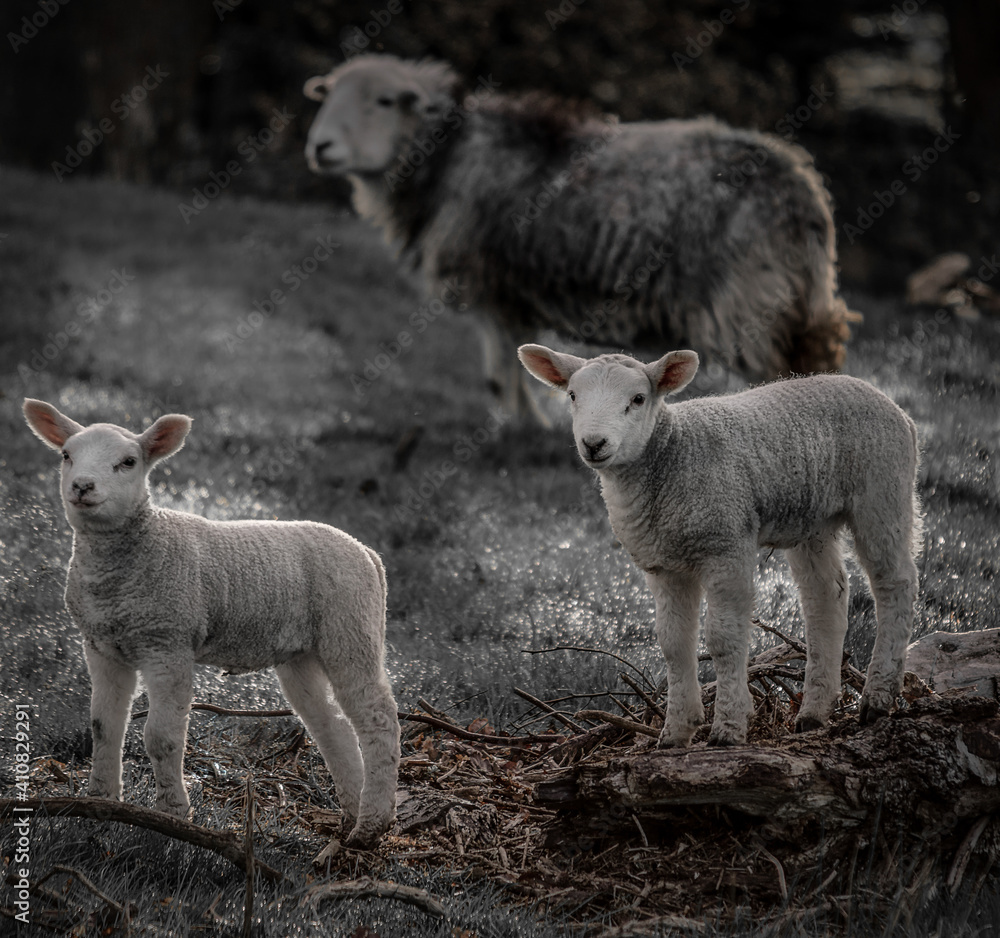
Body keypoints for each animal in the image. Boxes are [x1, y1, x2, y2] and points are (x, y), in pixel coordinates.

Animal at [22, 399, 400, 849]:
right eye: (66, 455)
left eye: (128, 462)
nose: (81, 486)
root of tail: (368, 553)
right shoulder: (100, 645)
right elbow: (103, 728)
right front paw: (100, 806)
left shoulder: (167, 641)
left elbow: (161, 738)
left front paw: (172, 816)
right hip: (301, 652)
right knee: (332, 725)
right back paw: (352, 814)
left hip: (349, 624)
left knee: (378, 717)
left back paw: (373, 823)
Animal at [303, 54, 856, 420]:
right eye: (328, 95)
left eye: (384, 100)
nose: (319, 147)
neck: (446, 159)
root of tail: (803, 189)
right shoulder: (511, 295)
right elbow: (514, 366)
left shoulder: (490, 285)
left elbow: (500, 372)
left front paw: (517, 431)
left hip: (749, 305)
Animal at [518, 345, 921, 746]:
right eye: (572, 396)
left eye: (638, 399)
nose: (593, 444)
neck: (670, 456)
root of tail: (892, 405)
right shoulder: (663, 564)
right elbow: (673, 644)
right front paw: (675, 732)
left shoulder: (726, 545)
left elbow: (723, 640)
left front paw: (727, 727)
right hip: (813, 519)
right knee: (826, 598)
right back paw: (814, 712)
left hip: (883, 488)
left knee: (894, 583)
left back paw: (878, 697)